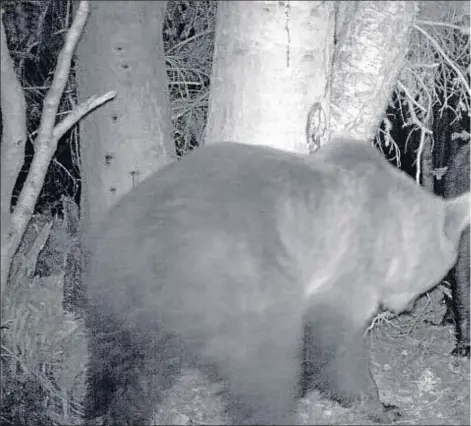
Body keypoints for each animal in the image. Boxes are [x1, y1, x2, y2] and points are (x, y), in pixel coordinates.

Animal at [83, 138, 470, 424]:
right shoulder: (349, 262)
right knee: (262, 369)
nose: (407, 306)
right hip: (237, 281)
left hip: (116, 290)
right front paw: (377, 404)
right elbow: (336, 340)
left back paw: (107, 411)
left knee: (123, 366)